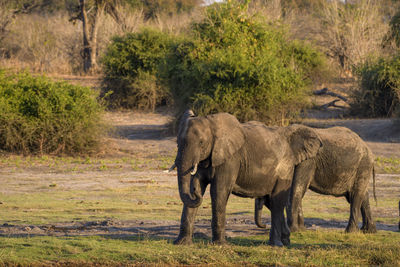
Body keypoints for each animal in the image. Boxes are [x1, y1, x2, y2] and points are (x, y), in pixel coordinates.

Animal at [173, 111, 322, 247]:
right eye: (177, 142)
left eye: (201, 143)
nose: (195, 191)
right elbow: (195, 187)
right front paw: (182, 244)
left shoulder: (230, 159)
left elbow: (219, 191)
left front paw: (220, 245)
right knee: (272, 203)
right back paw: (285, 242)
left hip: (284, 171)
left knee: (277, 203)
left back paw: (276, 245)